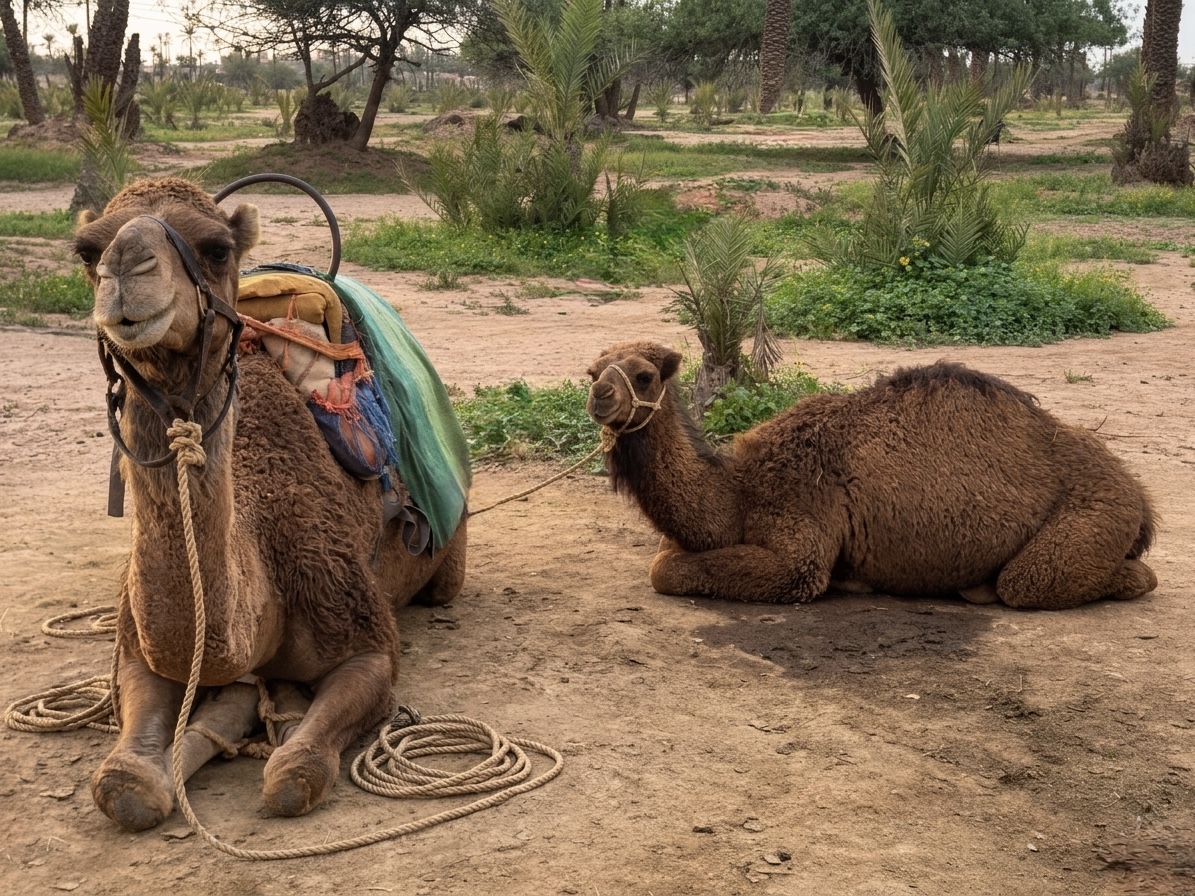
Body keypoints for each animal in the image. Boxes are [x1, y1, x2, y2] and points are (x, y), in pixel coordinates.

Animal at [72, 177, 467, 831]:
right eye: (85, 251)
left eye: (216, 248)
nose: (126, 266)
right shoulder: (136, 649)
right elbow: (123, 783)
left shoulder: (366, 639)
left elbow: (295, 773)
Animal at [586, 341, 1158, 609]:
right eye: (592, 370)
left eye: (644, 375)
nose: (599, 395)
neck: (740, 493)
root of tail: (1139, 494)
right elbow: (664, 562)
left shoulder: (800, 546)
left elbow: (669, 573)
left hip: (1098, 513)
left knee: (1037, 582)